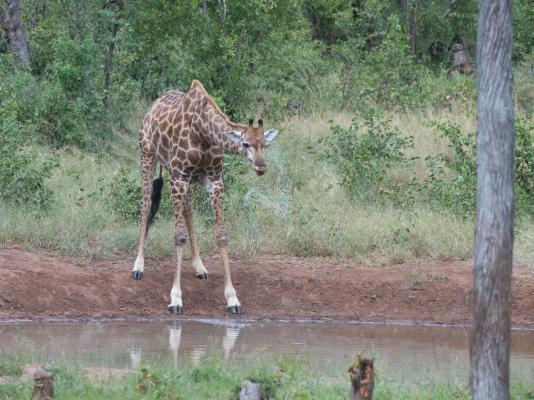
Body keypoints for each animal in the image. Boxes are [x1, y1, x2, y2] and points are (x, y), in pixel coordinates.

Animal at [132, 79, 280, 314]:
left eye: (265, 145)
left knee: (188, 211)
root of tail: (151, 108)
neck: (203, 133)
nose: (261, 166)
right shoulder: (178, 178)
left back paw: (199, 266)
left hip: (190, 181)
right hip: (147, 156)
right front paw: (176, 298)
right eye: (245, 143)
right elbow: (178, 236)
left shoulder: (214, 181)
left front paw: (232, 298)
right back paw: (138, 266)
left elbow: (221, 235)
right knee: (146, 204)